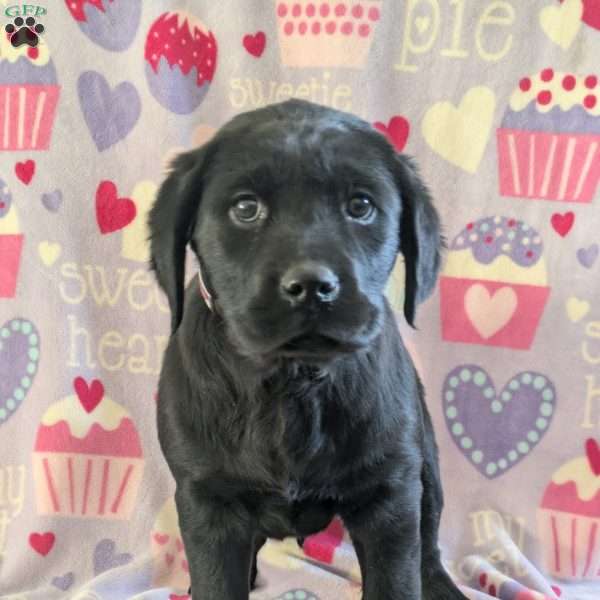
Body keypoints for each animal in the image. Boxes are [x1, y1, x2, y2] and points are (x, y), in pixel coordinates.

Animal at [148, 99, 466, 600]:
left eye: (361, 206)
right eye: (245, 208)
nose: (313, 286)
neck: (292, 382)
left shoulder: (391, 494)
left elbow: (399, 576)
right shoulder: (207, 500)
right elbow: (217, 581)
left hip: (426, 463)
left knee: (429, 542)